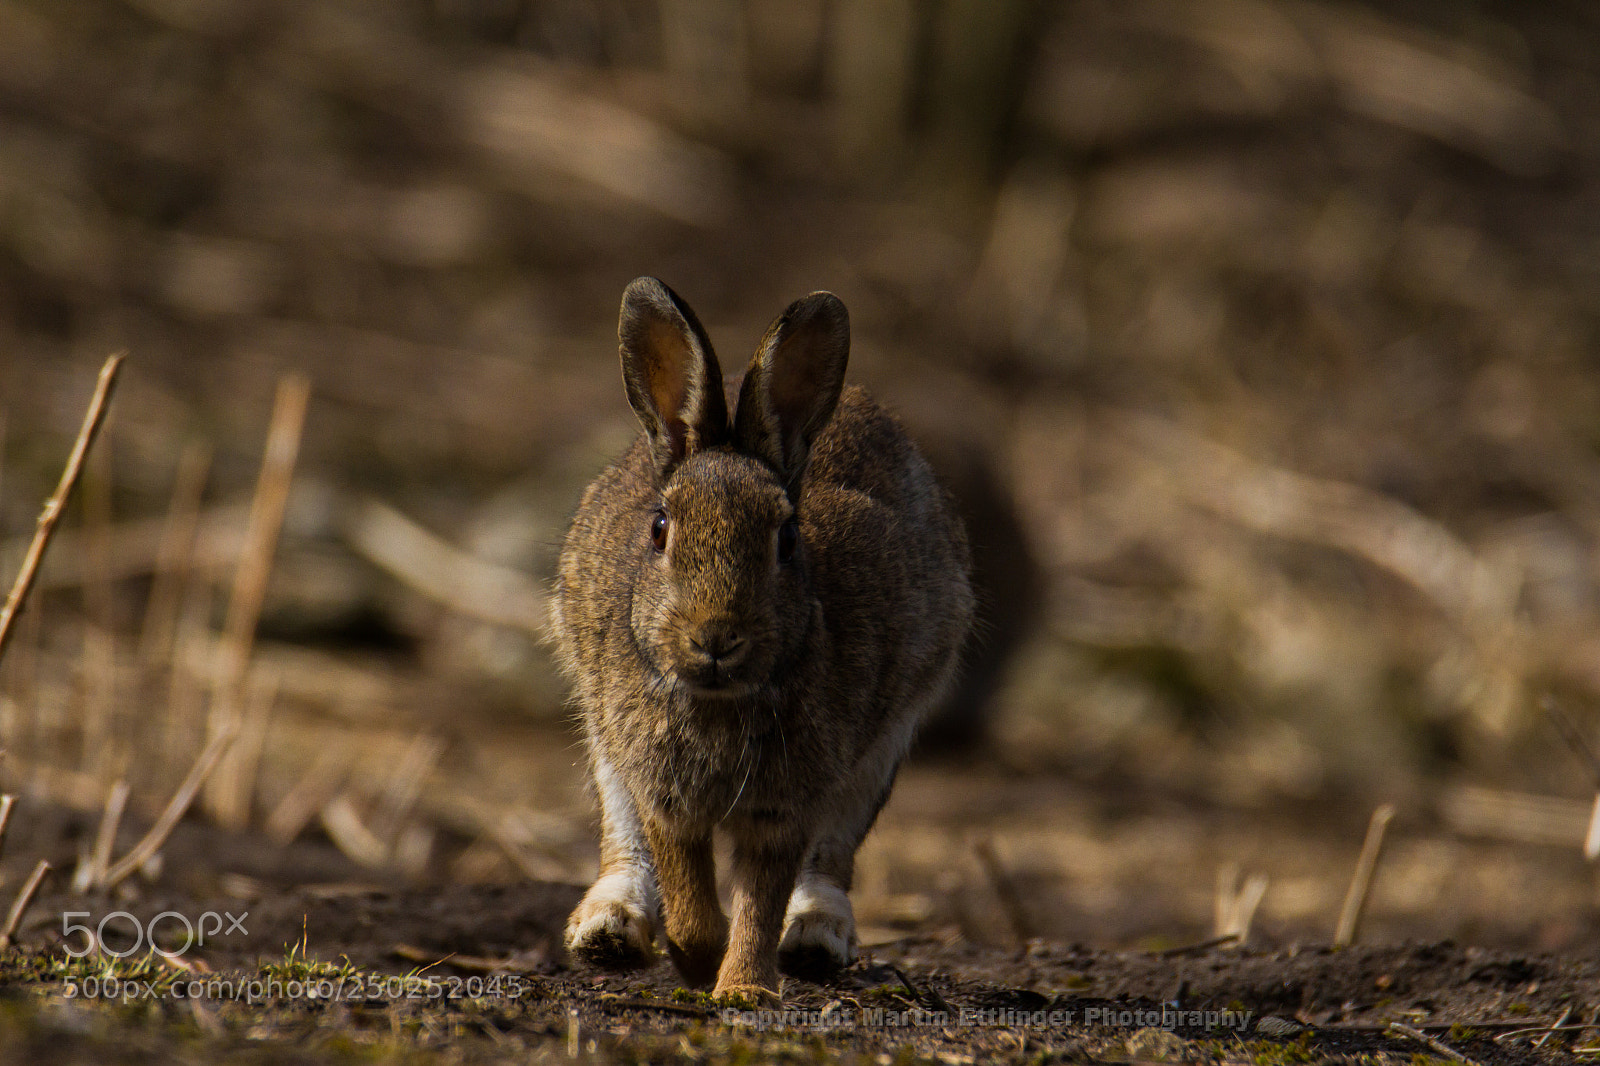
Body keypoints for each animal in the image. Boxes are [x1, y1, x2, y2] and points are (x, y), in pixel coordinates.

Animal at [552, 277, 974, 1004]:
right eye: (660, 529)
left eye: (787, 538)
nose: (717, 636)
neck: (720, 700)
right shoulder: (664, 792)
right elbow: (687, 890)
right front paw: (699, 960)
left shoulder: (787, 803)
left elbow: (762, 898)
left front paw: (743, 990)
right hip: (601, 728)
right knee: (619, 831)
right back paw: (608, 931)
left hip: (885, 741)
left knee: (834, 853)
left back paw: (816, 941)